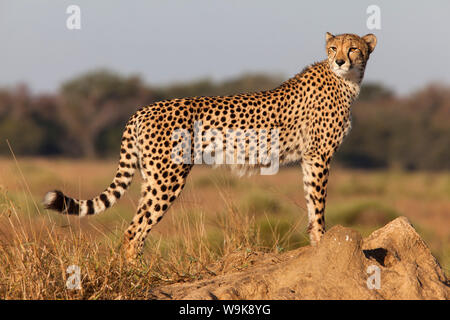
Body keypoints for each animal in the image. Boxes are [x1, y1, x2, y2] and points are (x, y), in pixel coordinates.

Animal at [44, 33, 376, 262]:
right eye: (333, 49)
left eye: (354, 48)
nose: (340, 60)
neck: (346, 81)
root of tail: (143, 109)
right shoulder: (320, 155)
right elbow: (318, 204)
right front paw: (323, 242)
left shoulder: (310, 157)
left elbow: (310, 200)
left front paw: (316, 243)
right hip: (168, 177)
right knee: (135, 230)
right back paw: (135, 274)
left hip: (152, 177)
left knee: (133, 225)